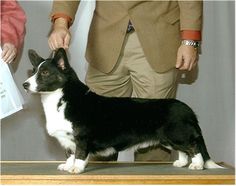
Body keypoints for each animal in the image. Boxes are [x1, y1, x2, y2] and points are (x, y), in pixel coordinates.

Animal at [23, 48, 223, 174]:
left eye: (45, 73)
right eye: (33, 71)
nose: (25, 84)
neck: (60, 99)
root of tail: (188, 110)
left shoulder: (82, 138)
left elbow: (79, 155)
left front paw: (76, 169)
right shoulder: (68, 140)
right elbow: (70, 155)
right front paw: (67, 165)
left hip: (177, 134)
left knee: (193, 146)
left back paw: (197, 166)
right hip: (168, 138)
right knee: (183, 150)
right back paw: (181, 163)